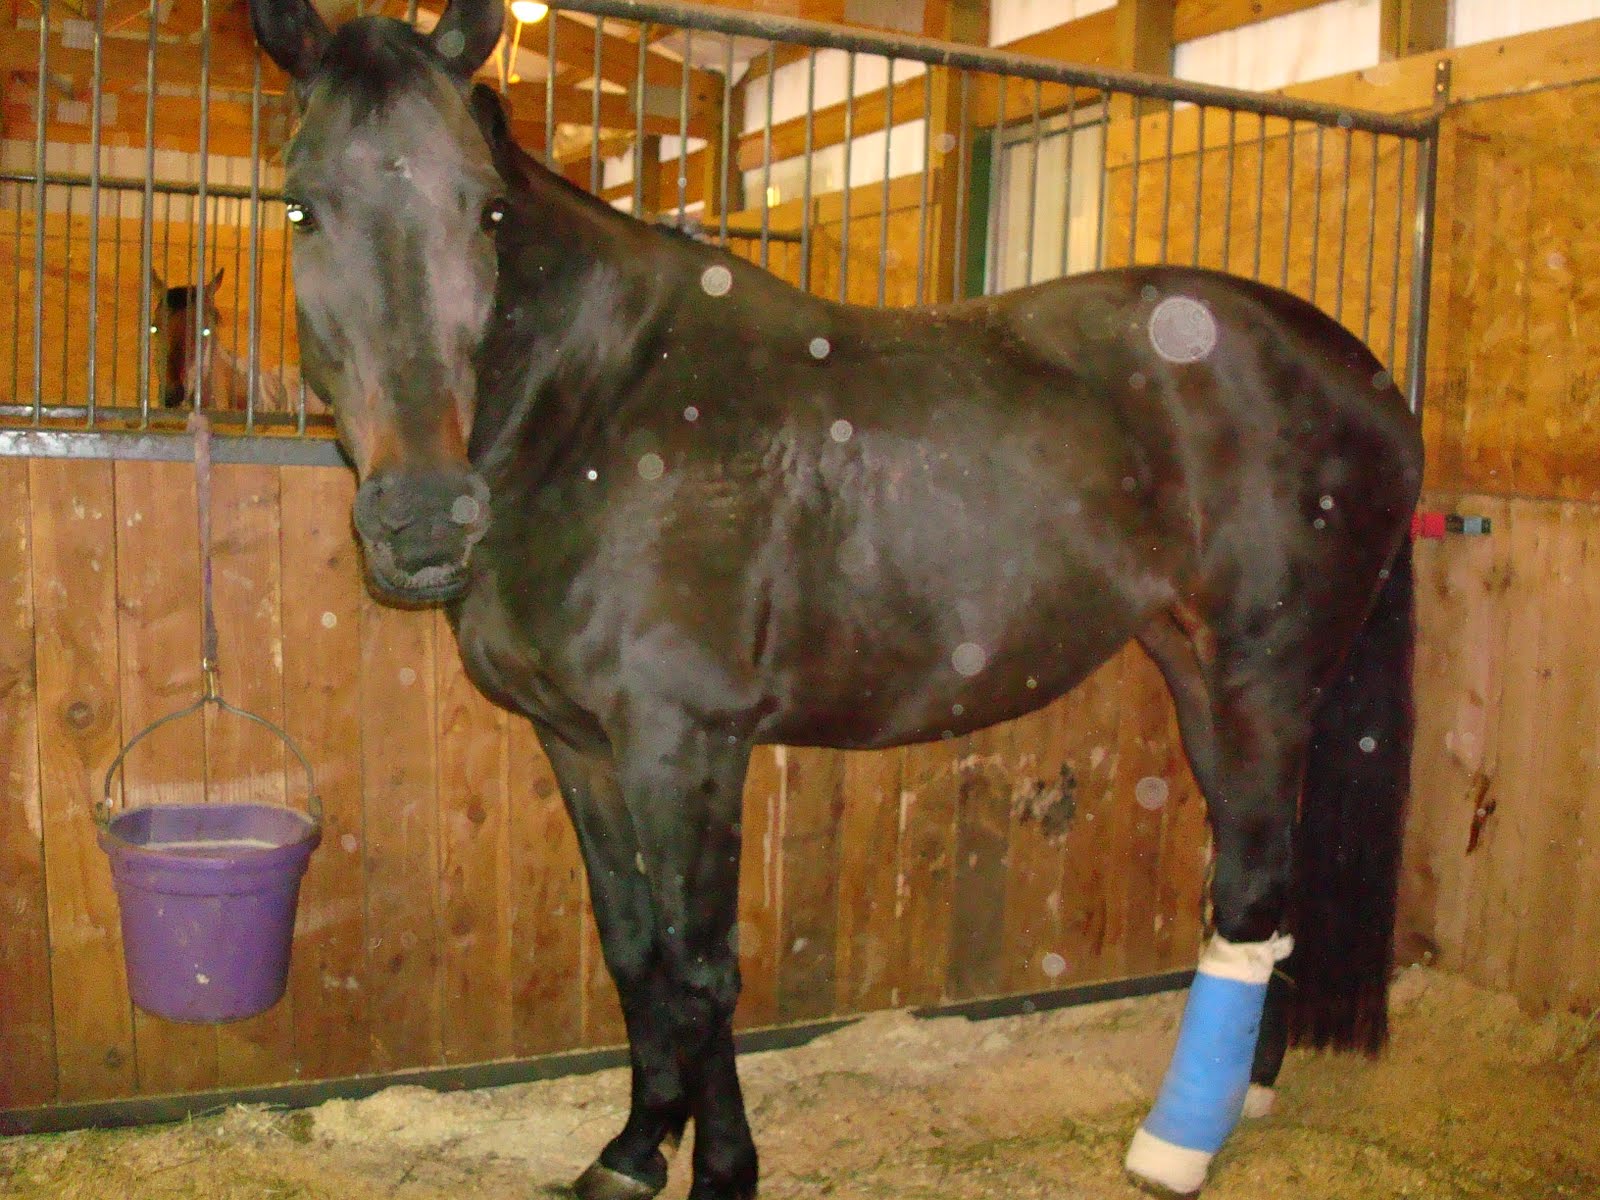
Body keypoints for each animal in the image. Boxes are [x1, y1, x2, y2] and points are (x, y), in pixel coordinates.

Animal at [247, 2, 1423, 1196]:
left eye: (484, 206)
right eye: (298, 203)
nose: (426, 519)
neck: (598, 409)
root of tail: (1362, 372)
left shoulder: (687, 744)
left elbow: (699, 967)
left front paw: (722, 1168)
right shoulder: (576, 743)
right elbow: (631, 947)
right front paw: (633, 1147)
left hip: (1258, 684)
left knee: (1254, 889)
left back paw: (1177, 1145)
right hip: (1193, 668)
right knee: (1265, 889)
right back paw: (1250, 1094)